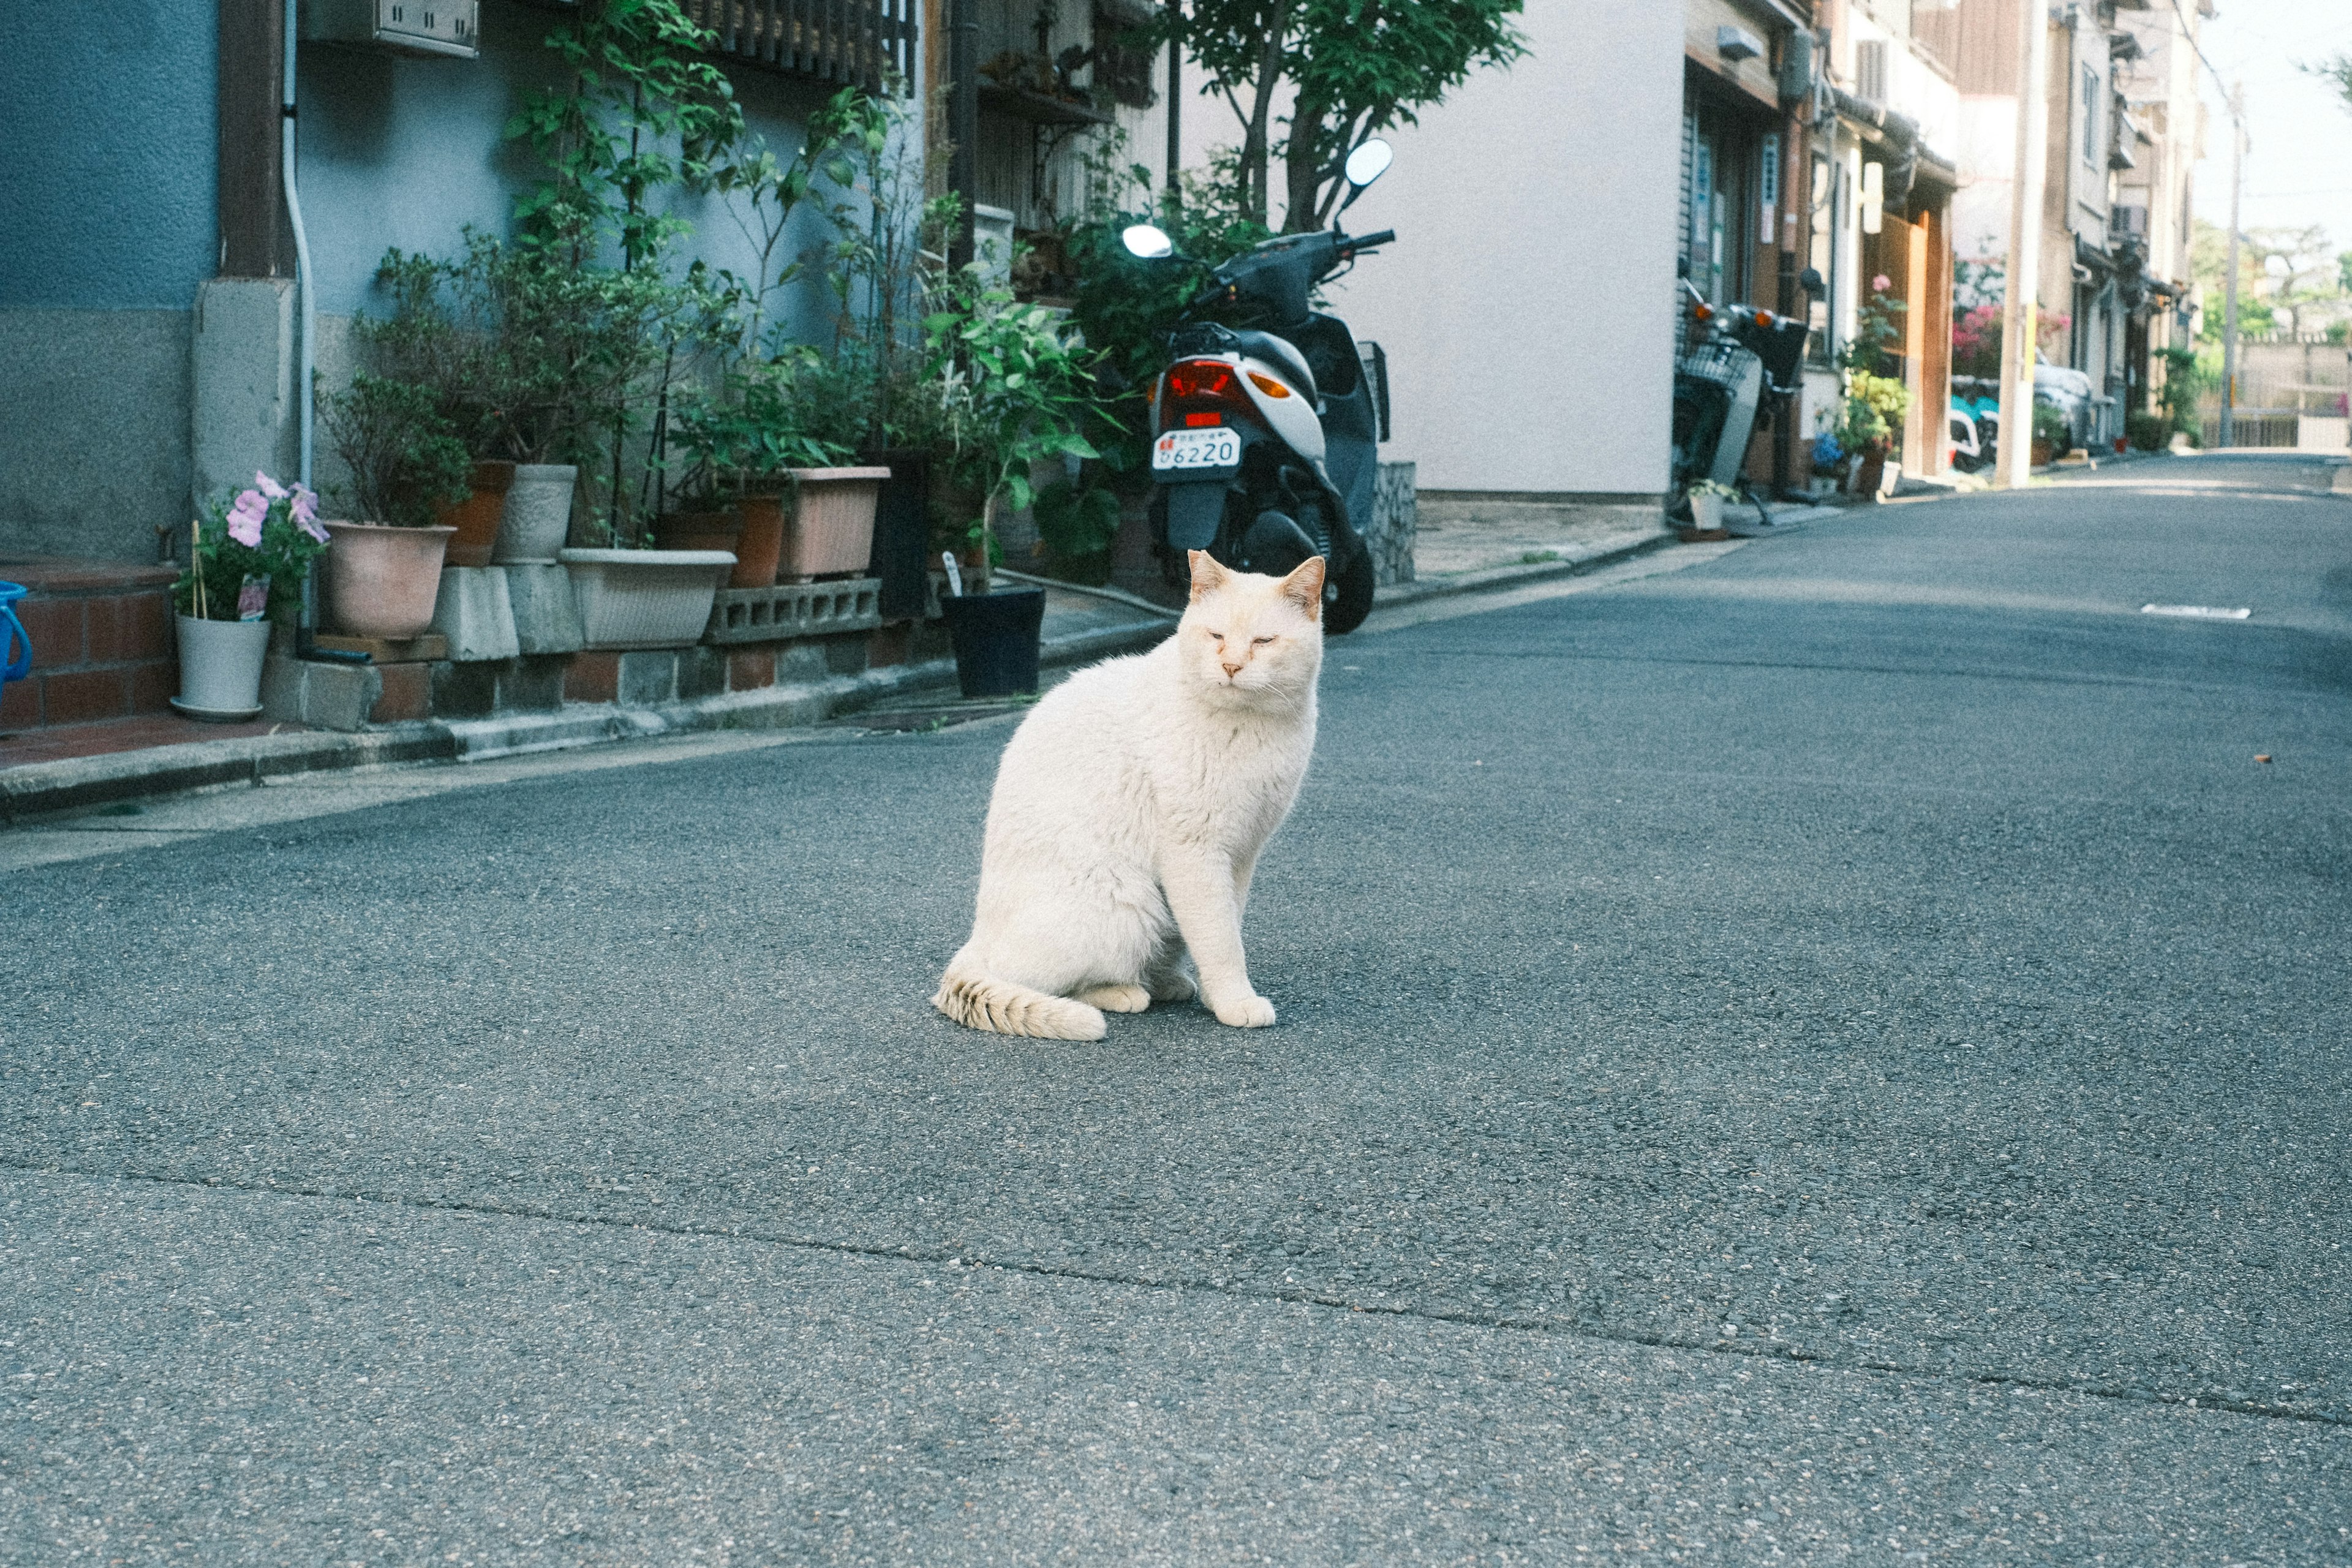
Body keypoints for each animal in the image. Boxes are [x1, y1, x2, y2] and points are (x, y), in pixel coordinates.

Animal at [931, 552, 1336, 1044]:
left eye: (1264, 641)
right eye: (1216, 636)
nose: (1232, 667)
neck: (1250, 724)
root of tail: (977, 939)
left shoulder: (1242, 854)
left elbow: (1226, 925)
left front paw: (1211, 995)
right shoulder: (1195, 852)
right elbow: (1220, 939)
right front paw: (1235, 1002)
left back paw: (1166, 983)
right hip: (1128, 901)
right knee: (1043, 982)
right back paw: (1122, 993)